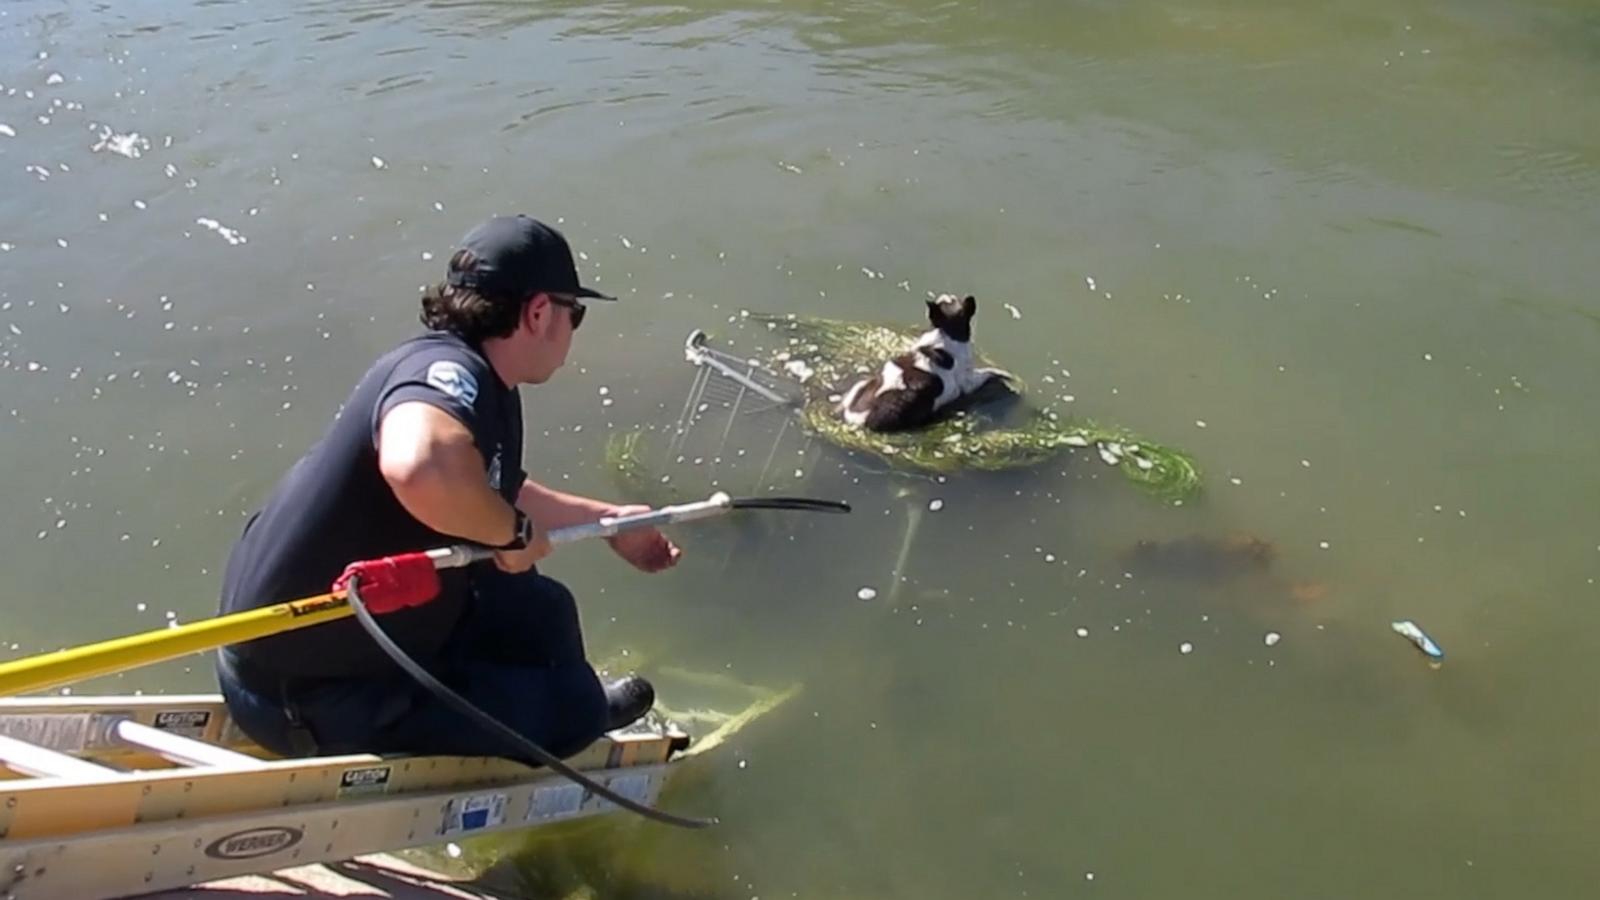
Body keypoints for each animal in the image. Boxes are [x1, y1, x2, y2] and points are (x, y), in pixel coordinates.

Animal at [838, 294, 1011, 432]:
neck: (945, 331)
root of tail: (856, 421)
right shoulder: (968, 381)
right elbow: (987, 372)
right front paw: (1002, 374)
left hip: (859, 386)